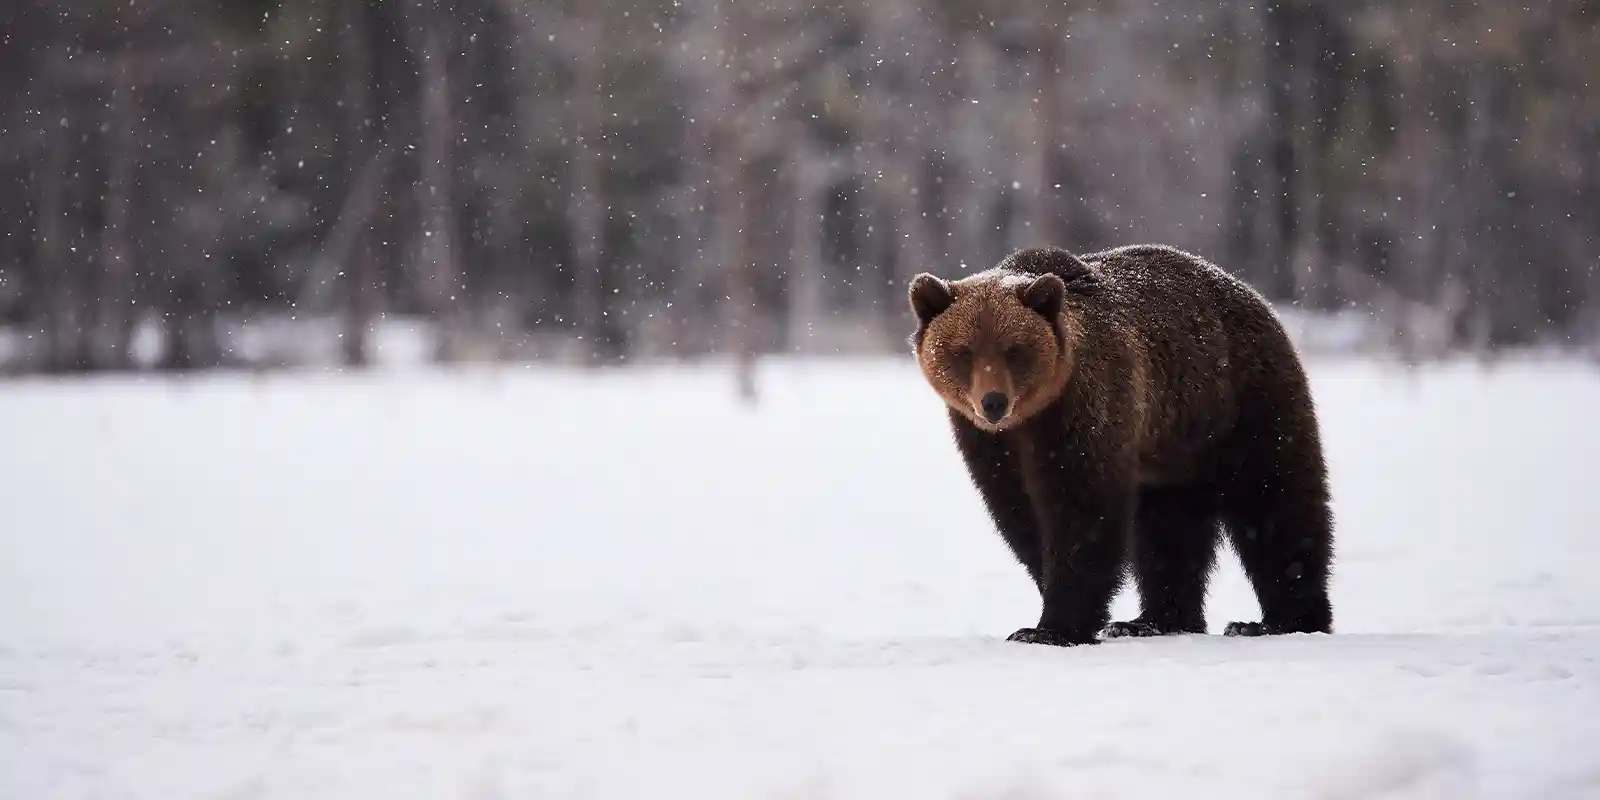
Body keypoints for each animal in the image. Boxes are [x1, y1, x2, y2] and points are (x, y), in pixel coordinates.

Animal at [908, 244, 1334, 647]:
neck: (1031, 420)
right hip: (1173, 451)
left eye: (1014, 349)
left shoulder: (1086, 410)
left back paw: (1277, 622)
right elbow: (1020, 514)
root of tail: (1251, 294)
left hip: (1241, 405)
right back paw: (1155, 621)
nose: (993, 402)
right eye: (963, 351)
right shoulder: (990, 445)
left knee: (1275, 500)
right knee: (1169, 531)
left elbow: (1081, 511)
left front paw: (1052, 628)